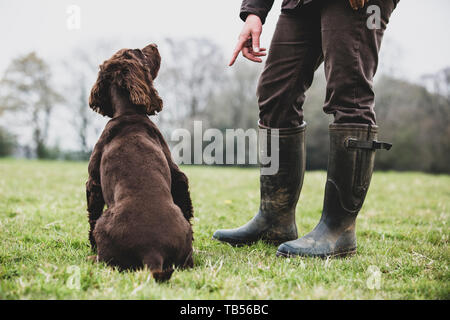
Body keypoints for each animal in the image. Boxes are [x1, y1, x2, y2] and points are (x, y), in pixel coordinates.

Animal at [86, 43, 193, 282]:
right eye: (140, 52)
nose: (154, 44)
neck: (128, 113)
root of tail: (152, 251)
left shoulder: (92, 182)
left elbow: (91, 215)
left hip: (104, 225)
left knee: (105, 259)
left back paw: (91, 256)